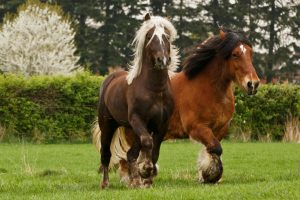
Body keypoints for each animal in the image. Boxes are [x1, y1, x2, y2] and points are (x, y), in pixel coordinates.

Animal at [94, 14, 178, 189]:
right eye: (150, 36)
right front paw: (145, 170)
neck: (155, 90)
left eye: (166, 37)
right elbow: (147, 142)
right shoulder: (138, 119)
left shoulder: (162, 124)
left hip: (133, 129)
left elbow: (154, 150)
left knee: (130, 153)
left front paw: (147, 180)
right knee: (106, 153)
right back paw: (105, 183)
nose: (162, 60)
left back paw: (135, 181)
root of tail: (109, 80)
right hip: (108, 125)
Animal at [94, 28, 260, 184]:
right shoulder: (197, 127)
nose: (253, 84)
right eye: (235, 54)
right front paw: (210, 175)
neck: (208, 89)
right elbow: (216, 148)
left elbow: (212, 150)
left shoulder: (220, 129)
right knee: (128, 158)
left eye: (251, 54)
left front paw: (205, 175)